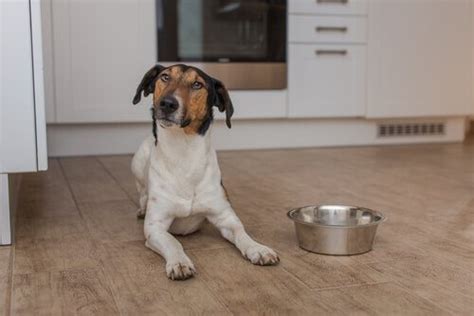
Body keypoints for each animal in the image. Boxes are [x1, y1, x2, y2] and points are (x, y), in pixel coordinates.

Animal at [131, 63, 278, 278]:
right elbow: (173, 242)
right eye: (165, 77)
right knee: (142, 192)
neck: (184, 154)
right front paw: (179, 262)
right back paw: (142, 208)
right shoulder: (155, 227)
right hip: (137, 162)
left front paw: (258, 248)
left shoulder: (226, 217)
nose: (167, 104)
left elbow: (242, 233)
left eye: (197, 84)